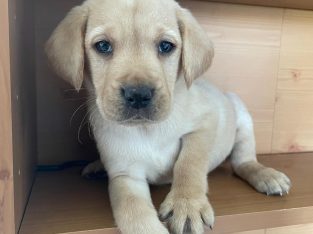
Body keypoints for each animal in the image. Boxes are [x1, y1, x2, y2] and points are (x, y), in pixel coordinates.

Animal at [46, 0, 290, 234]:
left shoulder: (206, 123)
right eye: (103, 46)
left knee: (243, 161)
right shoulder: (126, 175)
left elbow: (189, 163)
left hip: (240, 113)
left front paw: (187, 204)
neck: (147, 129)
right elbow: (133, 214)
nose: (138, 95)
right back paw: (96, 167)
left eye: (166, 46)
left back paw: (266, 175)